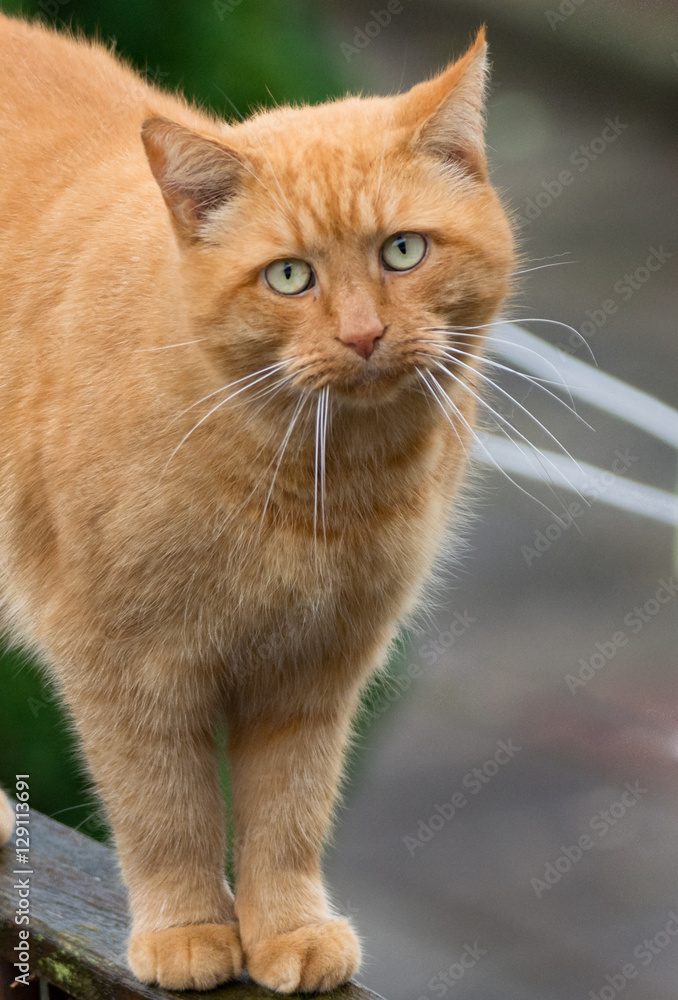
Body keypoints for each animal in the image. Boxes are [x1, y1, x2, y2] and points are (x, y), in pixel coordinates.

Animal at [0, 15, 512, 992]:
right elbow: (165, 808)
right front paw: (190, 930)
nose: (364, 335)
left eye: (403, 250)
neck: (320, 481)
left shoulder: (315, 669)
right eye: (288, 278)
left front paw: (289, 932)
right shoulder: (122, 663)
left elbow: (289, 813)